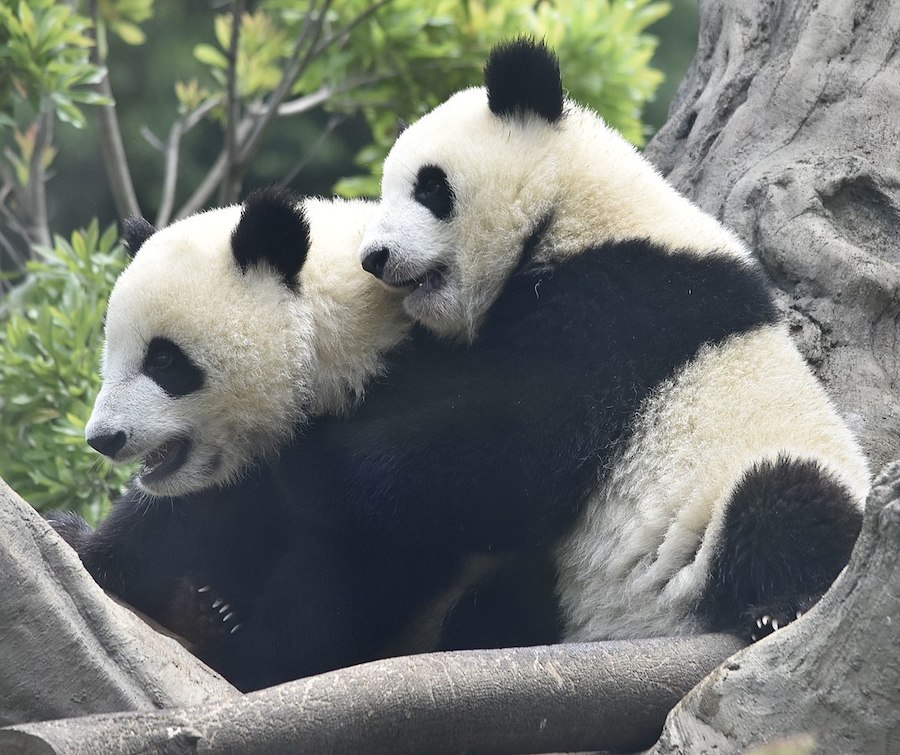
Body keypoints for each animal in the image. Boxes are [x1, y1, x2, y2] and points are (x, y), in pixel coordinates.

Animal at [286, 38, 872, 648]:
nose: (374, 257)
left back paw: (781, 607)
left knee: (785, 502)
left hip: (760, 472)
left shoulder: (624, 303)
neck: (576, 208)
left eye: (429, 187)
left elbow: (519, 448)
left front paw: (313, 459)